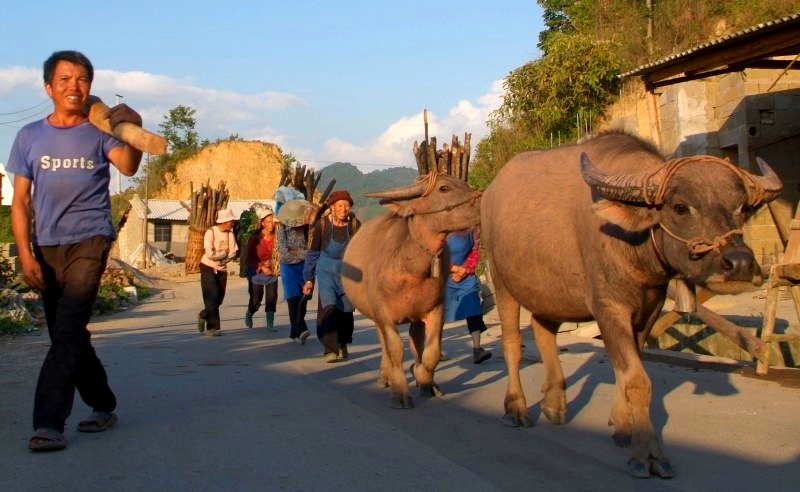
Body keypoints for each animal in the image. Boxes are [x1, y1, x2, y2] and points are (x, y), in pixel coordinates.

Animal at [342, 173, 482, 408]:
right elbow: (396, 350)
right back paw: (384, 376)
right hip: (376, 317)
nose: (483, 196)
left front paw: (424, 379)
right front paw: (400, 391)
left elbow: (432, 351)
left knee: (416, 339)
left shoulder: (436, 308)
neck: (410, 265)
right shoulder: (384, 315)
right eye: (444, 188)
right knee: (385, 345)